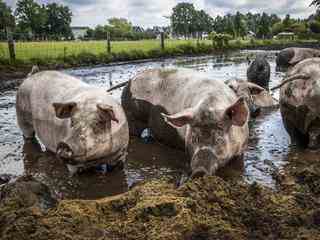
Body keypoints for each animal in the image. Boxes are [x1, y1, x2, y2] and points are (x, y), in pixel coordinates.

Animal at [121, 68, 249, 177]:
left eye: (219, 139)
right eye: (194, 138)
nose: (199, 171)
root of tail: (132, 79)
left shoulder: (241, 149)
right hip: (131, 116)